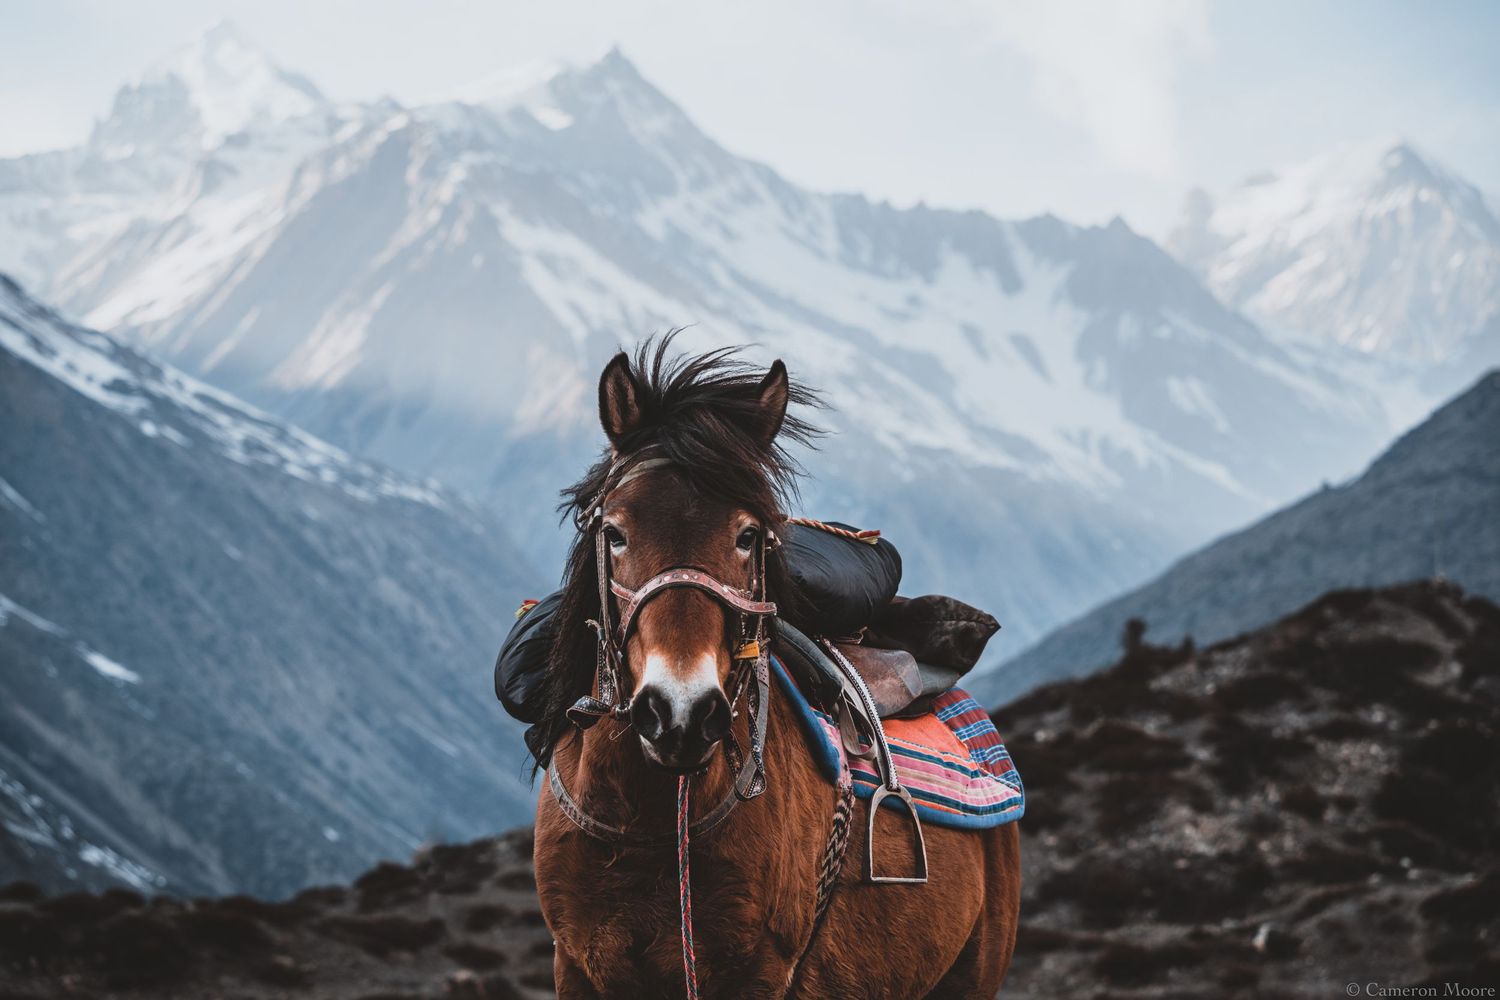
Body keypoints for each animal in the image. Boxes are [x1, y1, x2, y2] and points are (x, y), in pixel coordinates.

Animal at [531, 340, 1021, 998]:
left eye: (747, 535)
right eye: (614, 532)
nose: (680, 713)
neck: (648, 828)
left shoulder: (759, 973)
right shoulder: (577, 966)